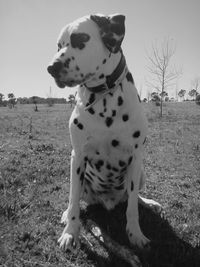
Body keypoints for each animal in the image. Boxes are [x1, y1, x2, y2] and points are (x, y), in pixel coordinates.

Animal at [47, 14, 161, 253]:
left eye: (81, 39)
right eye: (59, 46)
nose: (51, 68)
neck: (105, 97)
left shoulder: (136, 157)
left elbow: (132, 208)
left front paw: (135, 234)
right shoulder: (77, 156)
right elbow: (73, 202)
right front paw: (70, 233)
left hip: (141, 172)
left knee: (133, 198)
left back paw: (148, 202)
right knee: (75, 199)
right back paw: (67, 214)